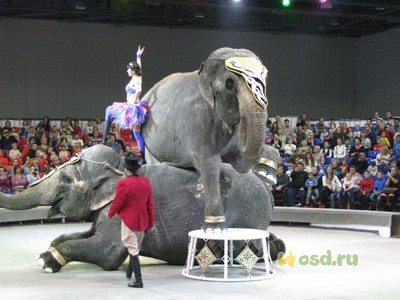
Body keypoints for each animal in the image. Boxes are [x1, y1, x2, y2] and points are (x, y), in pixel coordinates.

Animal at [0, 145, 284, 272]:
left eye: (67, 179)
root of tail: (265, 185)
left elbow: (107, 252)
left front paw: (46, 261)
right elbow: (75, 236)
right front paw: (49, 249)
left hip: (248, 211)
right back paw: (277, 247)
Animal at [143, 47, 268, 231]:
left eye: (265, 77)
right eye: (229, 84)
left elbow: (241, 164)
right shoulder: (196, 118)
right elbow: (209, 162)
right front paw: (214, 229)